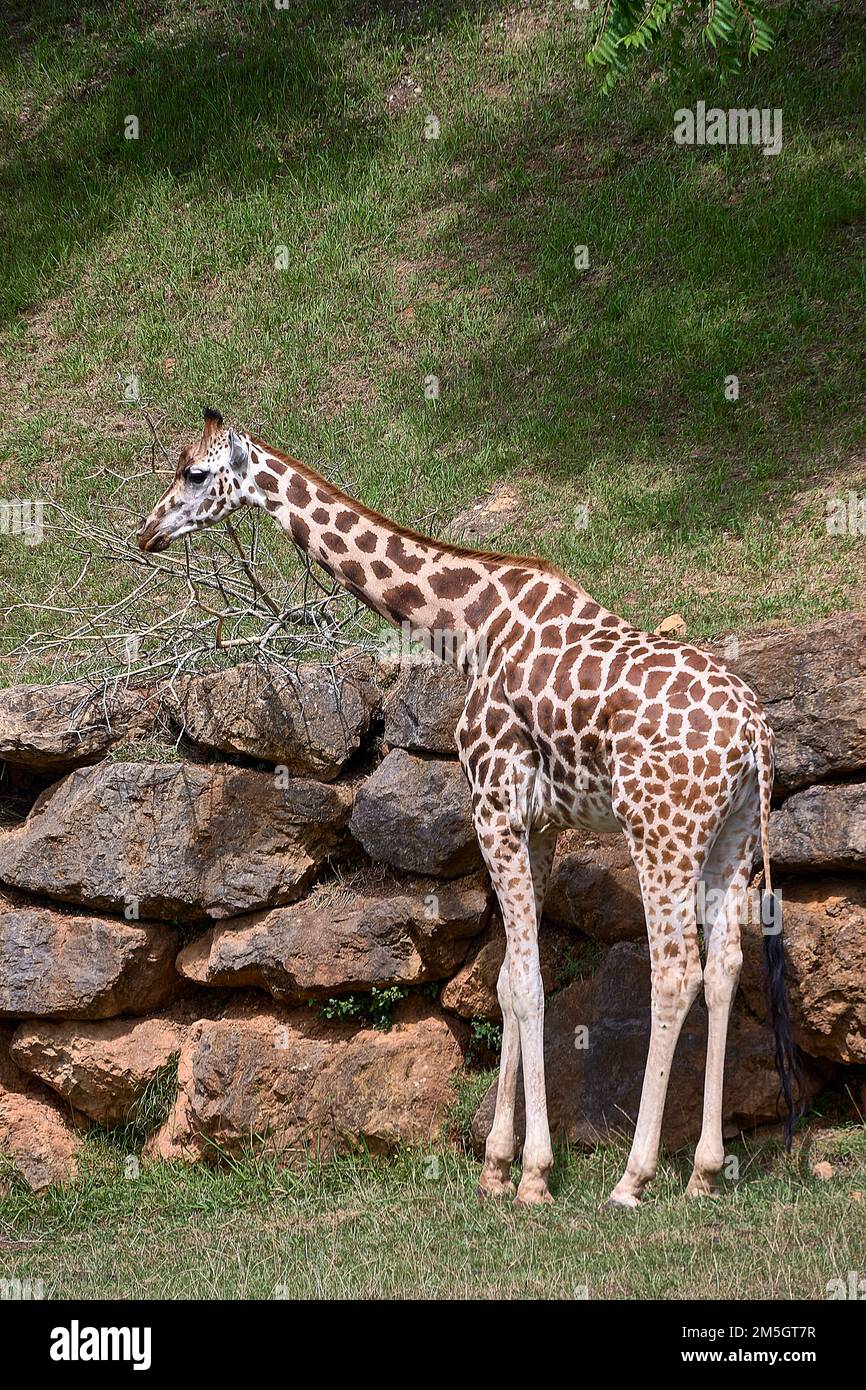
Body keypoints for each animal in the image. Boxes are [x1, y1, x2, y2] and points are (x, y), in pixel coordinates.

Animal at [137, 408, 798, 1207]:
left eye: (195, 473)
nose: (147, 532)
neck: (469, 621)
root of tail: (755, 732)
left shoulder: (492, 807)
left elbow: (528, 985)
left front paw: (534, 1174)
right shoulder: (537, 825)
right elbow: (509, 982)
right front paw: (496, 1165)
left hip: (660, 830)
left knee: (675, 971)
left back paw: (633, 1177)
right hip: (730, 834)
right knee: (727, 963)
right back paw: (703, 1171)